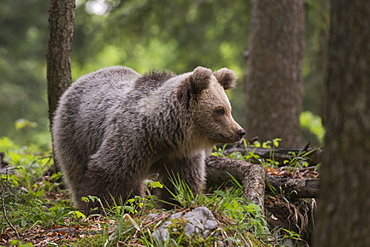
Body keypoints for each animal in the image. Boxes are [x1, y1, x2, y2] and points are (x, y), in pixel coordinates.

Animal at [50, 66, 244, 212]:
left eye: (229, 109)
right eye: (219, 110)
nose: (240, 131)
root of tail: (79, 81)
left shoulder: (180, 154)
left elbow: (182, 181)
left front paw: (177, 202)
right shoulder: (131, 141)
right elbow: (109, 174)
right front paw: (106, 207)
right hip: (75, 134)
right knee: (75, 172)